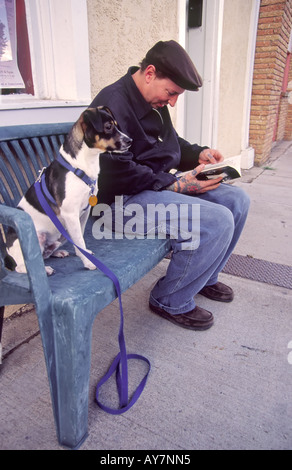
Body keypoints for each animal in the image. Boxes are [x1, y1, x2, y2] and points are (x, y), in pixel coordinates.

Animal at [6, 106, 132, 276]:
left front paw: (85, 254)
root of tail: (7, 256)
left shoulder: (83, 212)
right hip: (37, 238)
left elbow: (80, 241)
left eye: (116, 125)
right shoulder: (70, 214)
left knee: (46, 254)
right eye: (108, 127)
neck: (82, 166)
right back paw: (44, 269)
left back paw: (57, 253)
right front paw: (88, 263)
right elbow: (79, 241)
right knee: (21, 267)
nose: (130, 140)